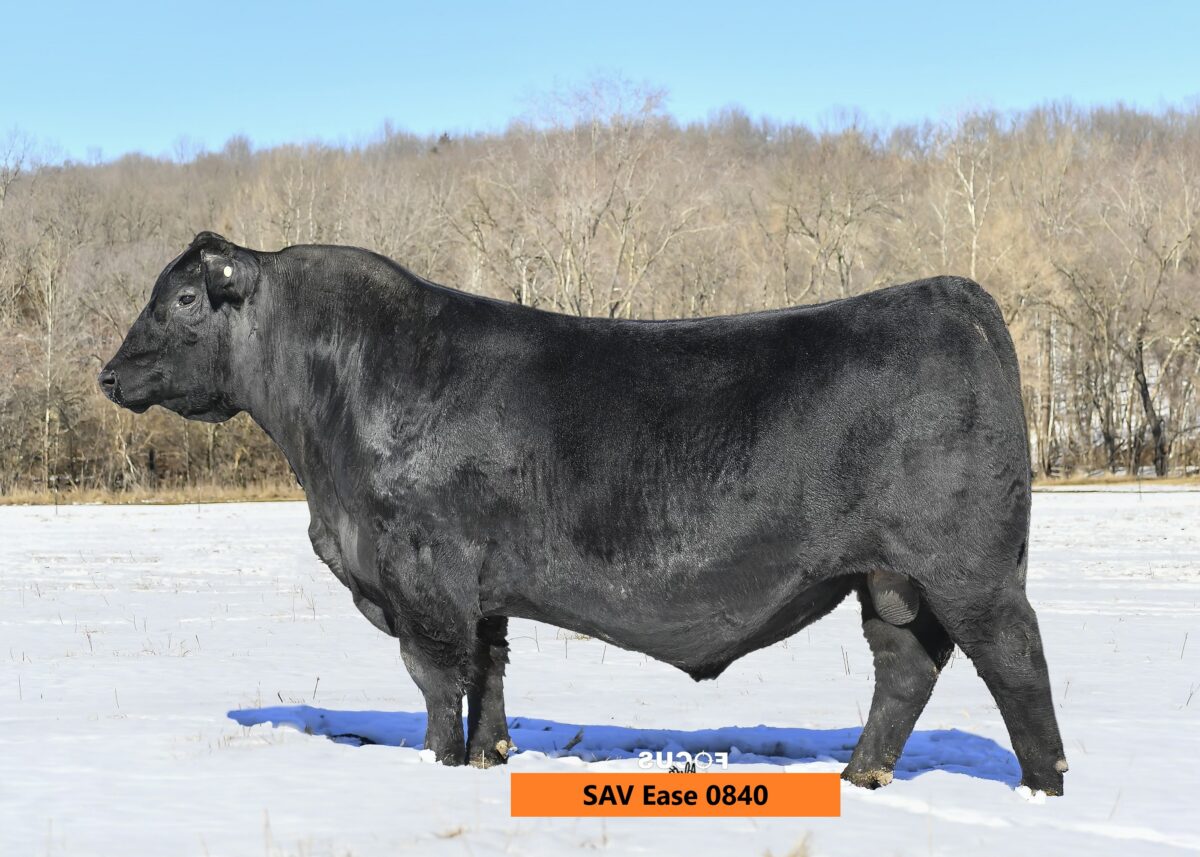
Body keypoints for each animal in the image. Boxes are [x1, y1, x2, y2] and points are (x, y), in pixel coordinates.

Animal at [99, 232, 1067, 795]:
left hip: (969, 567)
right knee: (904, 667)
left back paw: (1042, 786)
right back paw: (860, 777)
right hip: (889, 576)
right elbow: (488, 675)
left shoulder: (424, 572)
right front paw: (487, 760)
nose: (109, 374)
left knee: (1015, 660)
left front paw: (437, 766)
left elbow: (435, 675)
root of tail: (951, 294)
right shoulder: (481, 586)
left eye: (181, 298)